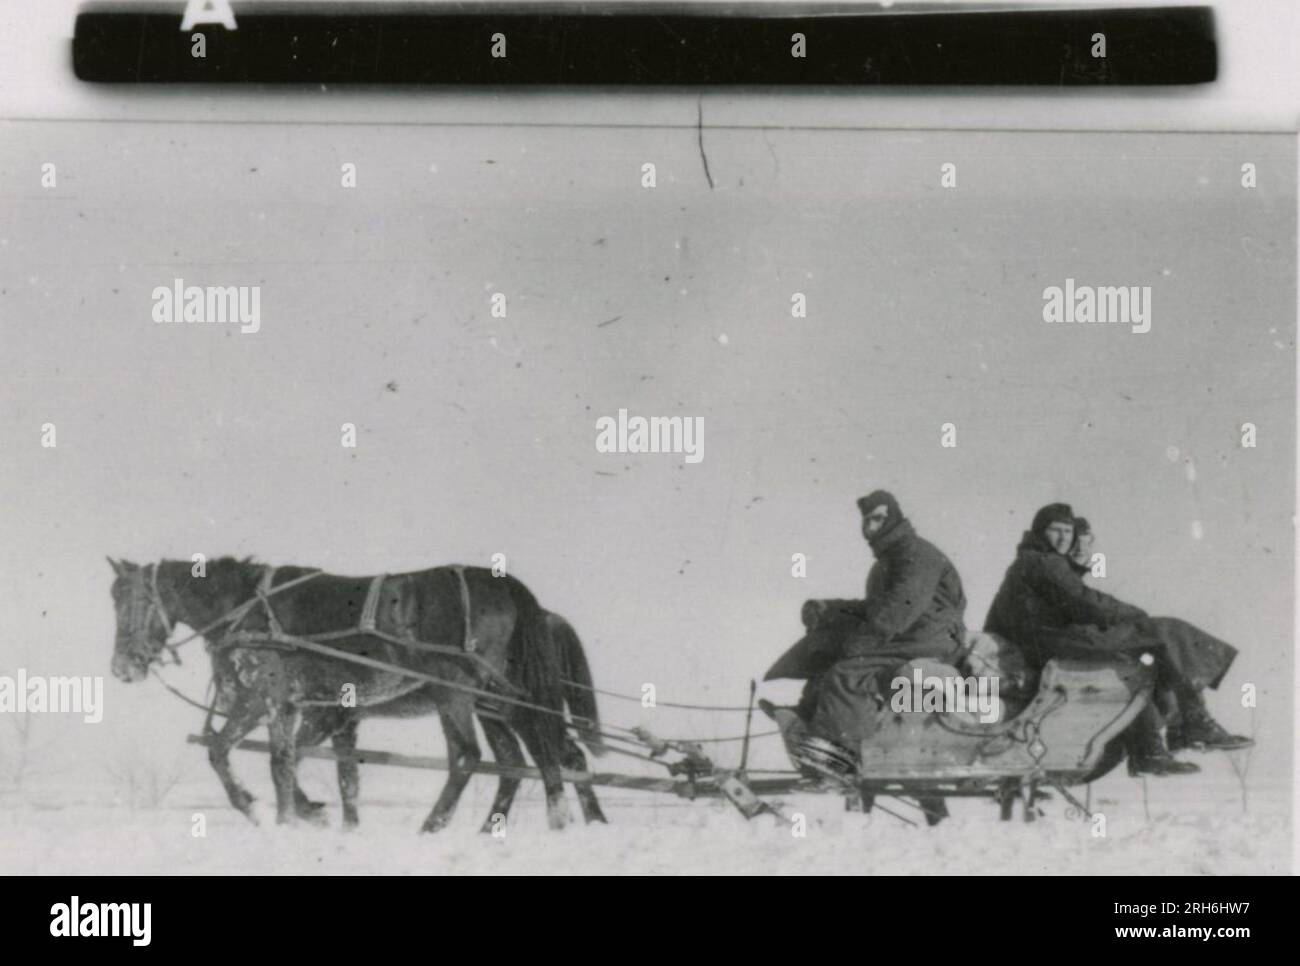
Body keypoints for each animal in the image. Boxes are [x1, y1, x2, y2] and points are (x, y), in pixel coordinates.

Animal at [106, 559, 603, 832]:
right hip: (493, 702)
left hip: (464, 694)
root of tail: (505, 585)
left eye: (133, 601)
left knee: (481, 756)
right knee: (528, 759)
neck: (247, 609)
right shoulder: (325, 711)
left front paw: (267, 813)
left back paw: (438, 826)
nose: (122, 667)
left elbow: (251, 757)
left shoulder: (267, 697)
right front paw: (320, 816)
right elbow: (338, 774)